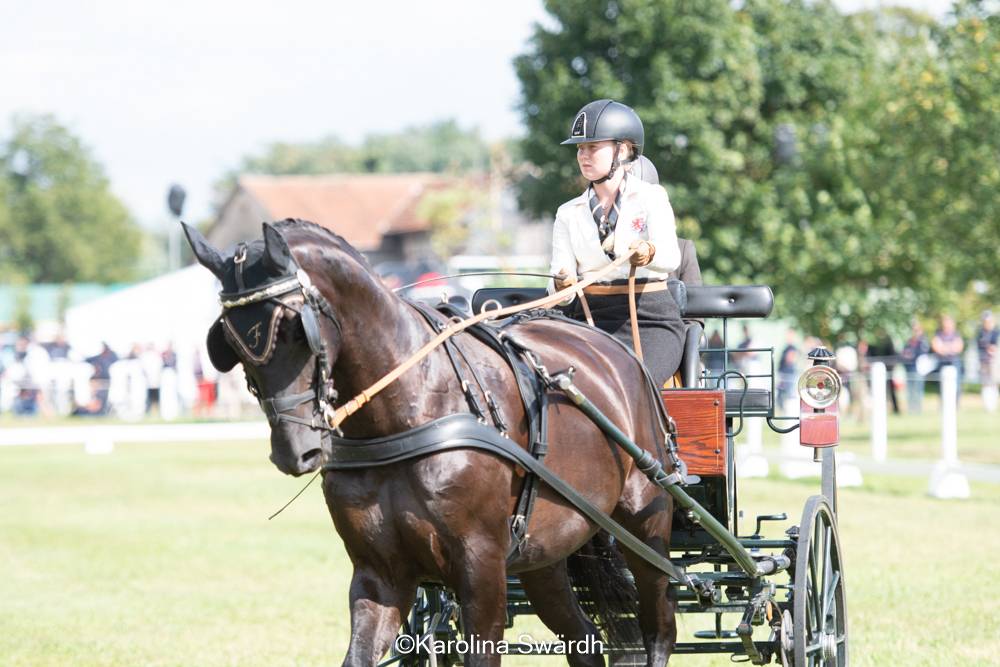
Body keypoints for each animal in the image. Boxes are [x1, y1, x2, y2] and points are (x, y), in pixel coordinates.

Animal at [182, 220, 680, 667]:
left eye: (291, 328)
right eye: (229, 341)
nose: (293, 449)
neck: (406, 412)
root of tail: (613, 350)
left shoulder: (481, 567)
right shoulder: (380, 574)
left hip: (646, 525)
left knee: (659, 626)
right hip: (545, 556)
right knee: (585, 640)